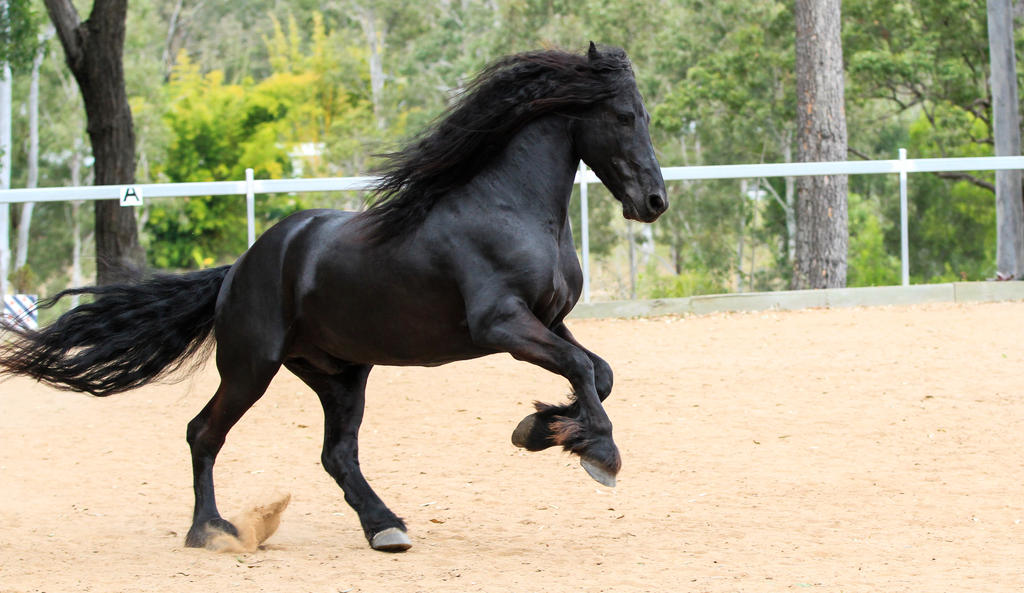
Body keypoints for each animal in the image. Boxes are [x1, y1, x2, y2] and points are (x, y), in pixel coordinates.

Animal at [0, 44, 667, 553]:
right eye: (625, 115)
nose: (654, 202)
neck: (509, 208)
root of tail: (239, 268)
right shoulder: (501, 324)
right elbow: (582, 368)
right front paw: (598, 453)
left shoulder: (550, 319)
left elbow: (598, 372)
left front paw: (540, 428)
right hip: (252, 367)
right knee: (203, 433)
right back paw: (212, 532)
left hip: (340, 374)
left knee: (336, 454)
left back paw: (385, 528)